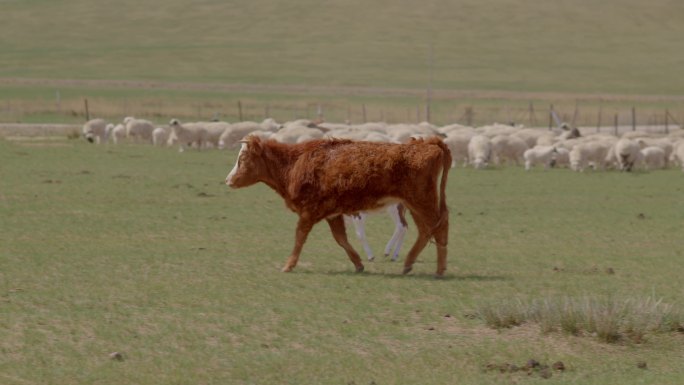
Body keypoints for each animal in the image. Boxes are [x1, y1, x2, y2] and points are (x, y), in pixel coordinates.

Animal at [227, 136, 452, 274]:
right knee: (425, 231)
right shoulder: (333, 214)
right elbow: (341, 239)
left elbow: (299, 237)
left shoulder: (308, 213)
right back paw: (408, 263)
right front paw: (359, 263)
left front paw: (288, 265)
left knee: (439, 227)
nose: (228, 180)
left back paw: (440, 269)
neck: (295, 162)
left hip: (423, 202)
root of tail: (428, 143)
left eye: (242, 158)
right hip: (414, 205)